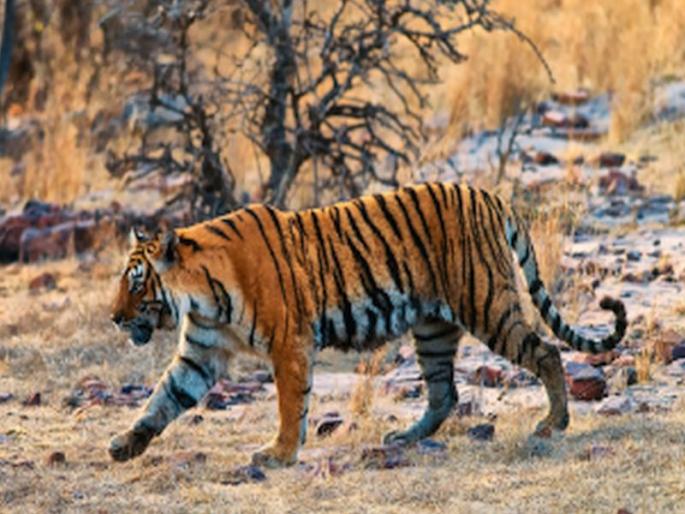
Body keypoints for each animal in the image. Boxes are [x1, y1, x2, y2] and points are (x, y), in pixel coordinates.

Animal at [109, 182, 627, 467]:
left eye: (137, 283)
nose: (114, 318)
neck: (201, 295)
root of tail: (489, 195)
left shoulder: (289, 344)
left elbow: (290, 405)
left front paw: (278, 454)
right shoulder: (202, 351)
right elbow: (164, 398)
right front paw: (124, 444)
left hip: (487, 305)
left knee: (546, 351)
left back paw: (553, 423)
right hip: (433, 327)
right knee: (444, 393)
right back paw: (405, 437)